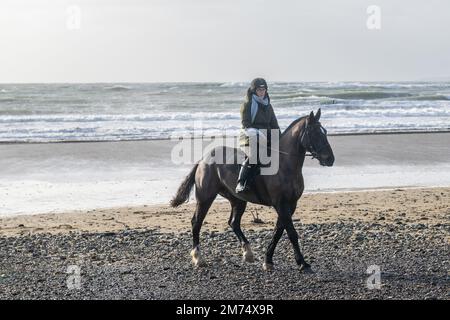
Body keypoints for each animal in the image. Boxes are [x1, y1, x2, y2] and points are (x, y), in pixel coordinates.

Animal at [170, 109, 334, 272]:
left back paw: (248, 253)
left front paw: (268, 260)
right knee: (196, 222)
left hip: (238, 200)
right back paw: (198, 258)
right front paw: (302, 263)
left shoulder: (291, 205)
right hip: (205, 198)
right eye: (314, 133)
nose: (330, 159)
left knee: (234, 223)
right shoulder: (281, 204)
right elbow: (291, 233)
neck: (284, 165)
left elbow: (278, 232)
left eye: (324, 132)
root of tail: (204, 159)